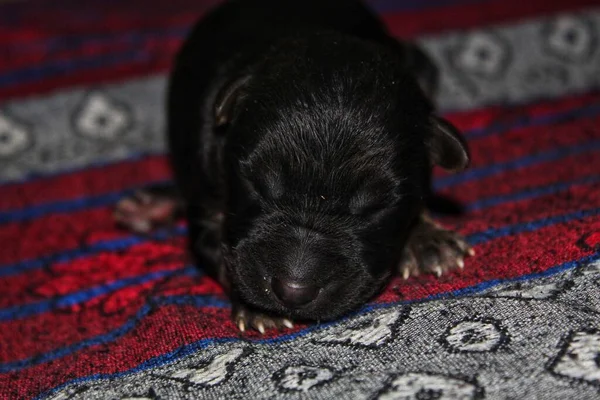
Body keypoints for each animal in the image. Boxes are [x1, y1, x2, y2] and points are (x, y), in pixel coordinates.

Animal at [116, 0, 474, 334]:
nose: (293, 292)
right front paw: (257, 306)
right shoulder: (207, 196)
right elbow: (220, 251)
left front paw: (427, 238)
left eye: (375, 206)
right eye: (258, 184)